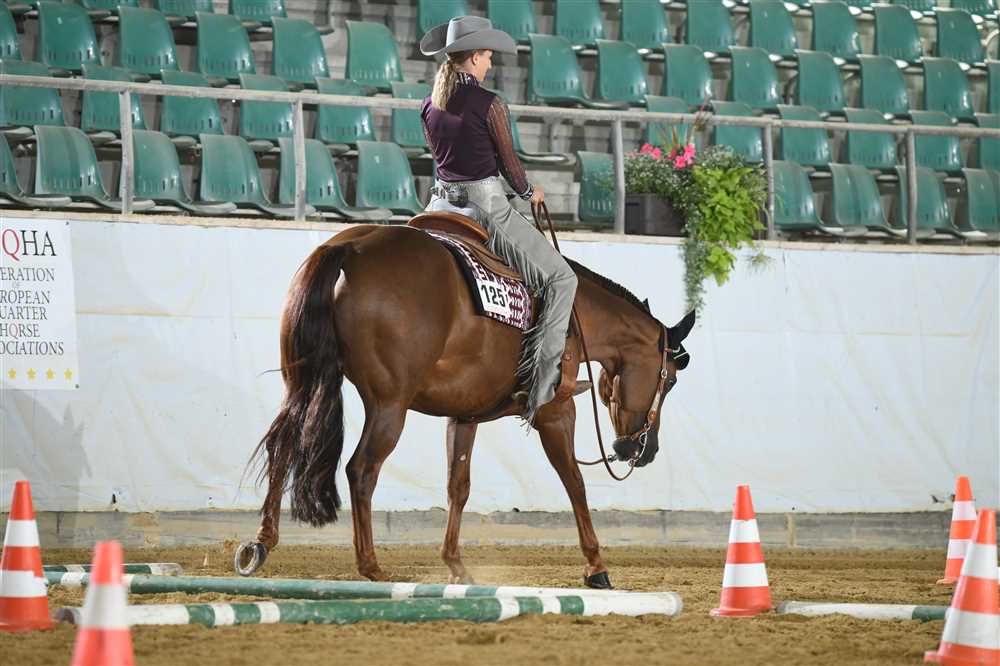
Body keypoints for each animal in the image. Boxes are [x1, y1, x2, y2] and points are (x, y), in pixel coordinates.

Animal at [236, 216, 695, 589]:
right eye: (670, 380)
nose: (645, 449)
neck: (576, 314)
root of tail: (349, 247)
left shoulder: (464, 415)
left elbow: (458, 485)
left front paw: (456, 565)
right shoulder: (555, 412)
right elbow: (574, 482)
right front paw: (596, 566)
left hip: (301, 382)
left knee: (282, 446)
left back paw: (260, 544)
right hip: (389, 404)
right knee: (361, 469)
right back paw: (371, 566)